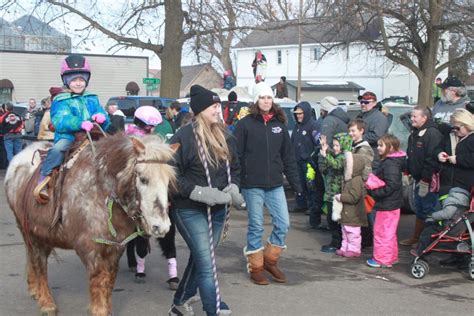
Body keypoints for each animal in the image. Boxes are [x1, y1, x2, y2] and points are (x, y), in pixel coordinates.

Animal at [3, 132, 178, 314]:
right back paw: (46, 303)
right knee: (39, 262)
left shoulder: (115, 248)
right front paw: (99, 310)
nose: (161, 226)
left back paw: (34, 289)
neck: (102, 192)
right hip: (29, 230)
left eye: (168, 181)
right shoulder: (90, 249)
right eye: (143, 179)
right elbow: (98, 282)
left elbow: (109, 282)